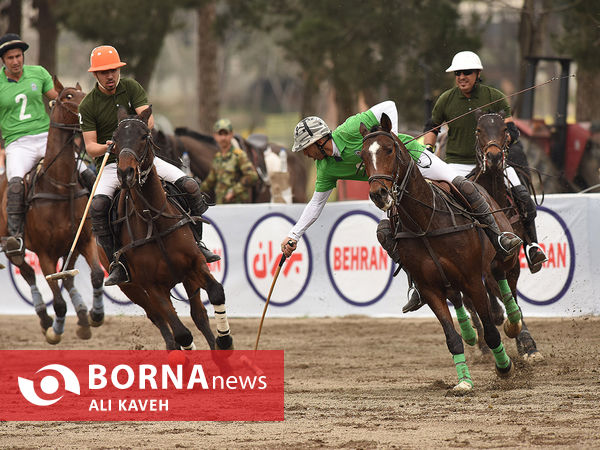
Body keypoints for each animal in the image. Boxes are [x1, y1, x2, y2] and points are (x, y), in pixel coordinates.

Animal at [0, 78, 105, 344]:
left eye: (84, 93)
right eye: (68, 96)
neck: (60, 187)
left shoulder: (85, 240)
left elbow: (96, 275)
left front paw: (95, 315)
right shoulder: (45, 254)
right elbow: (58, 302)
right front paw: (54, 331)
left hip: (69, 247)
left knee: (67, 277)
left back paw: (82, 317)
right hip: (11, 245)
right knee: (29, 273)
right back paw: (45, 318)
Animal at [110, 106, 234, 352]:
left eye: (144, 136)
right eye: (115, 139)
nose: (126, 174)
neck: (154, 221)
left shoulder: (195, 265)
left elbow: (216, 292)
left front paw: (225, 341)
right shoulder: (153, 287)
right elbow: (182, 334)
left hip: (186, 279)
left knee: (199, 315)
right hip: (133, 289)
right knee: (159, 319)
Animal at [358, 114, 524, 392]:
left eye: (389, 149)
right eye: (362, 155)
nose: (378, 194)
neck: (425, 222)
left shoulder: (472, 279)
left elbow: (491, 330)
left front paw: (504, 368)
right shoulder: (429, 288)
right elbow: (452, 338)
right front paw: (464, 382)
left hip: (504, 256)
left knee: (503, 279)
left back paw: (515, 321)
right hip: (451, 281)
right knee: (466, 296)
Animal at [468, 111, 544, 362]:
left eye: (504, 130)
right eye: (478, 129)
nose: (493, 157)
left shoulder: (511, 259)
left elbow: (512, 295)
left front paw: (528, 345)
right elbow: (496, 291)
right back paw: (483, 343)